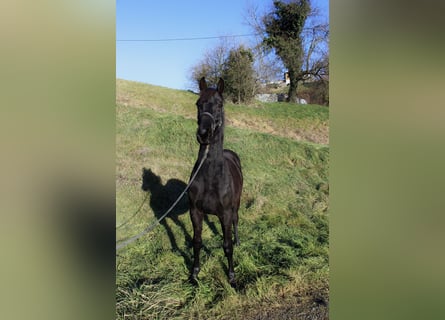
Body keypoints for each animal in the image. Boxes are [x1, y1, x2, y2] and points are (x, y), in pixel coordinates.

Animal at [187, 77, 243, 288]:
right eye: (198, 103)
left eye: (219, 104)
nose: (204, 134)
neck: (211, 176)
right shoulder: (195, 211)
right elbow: (197, 242)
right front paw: (194, 274)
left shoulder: (225, 214)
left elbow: (227, 246)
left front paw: (232, 277)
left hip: (236, 205)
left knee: (236, 221)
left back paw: (238, 241)